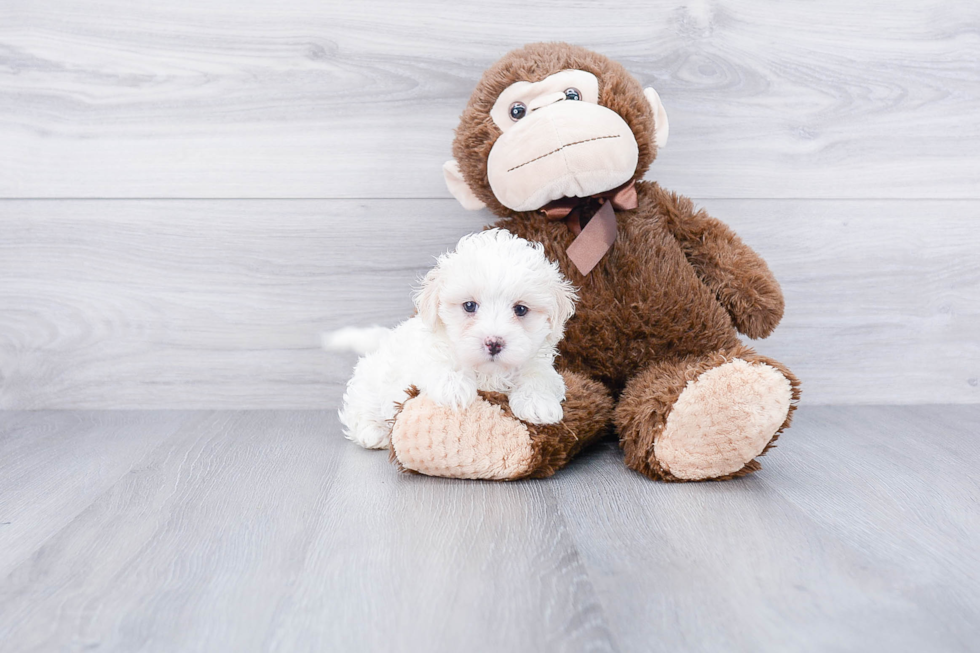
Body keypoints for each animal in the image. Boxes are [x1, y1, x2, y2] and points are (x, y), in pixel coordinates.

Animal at [326, 229, 580, 448]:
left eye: (520, 310)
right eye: (469, 306)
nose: (493, 343)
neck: (488, 373)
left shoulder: (540, 364)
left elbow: (538, 376)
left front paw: (538, 404)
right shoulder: (426, 354)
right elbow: (440, 363)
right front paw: (454, 389)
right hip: (369, 383)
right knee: (360, 408)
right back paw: (373, 431)